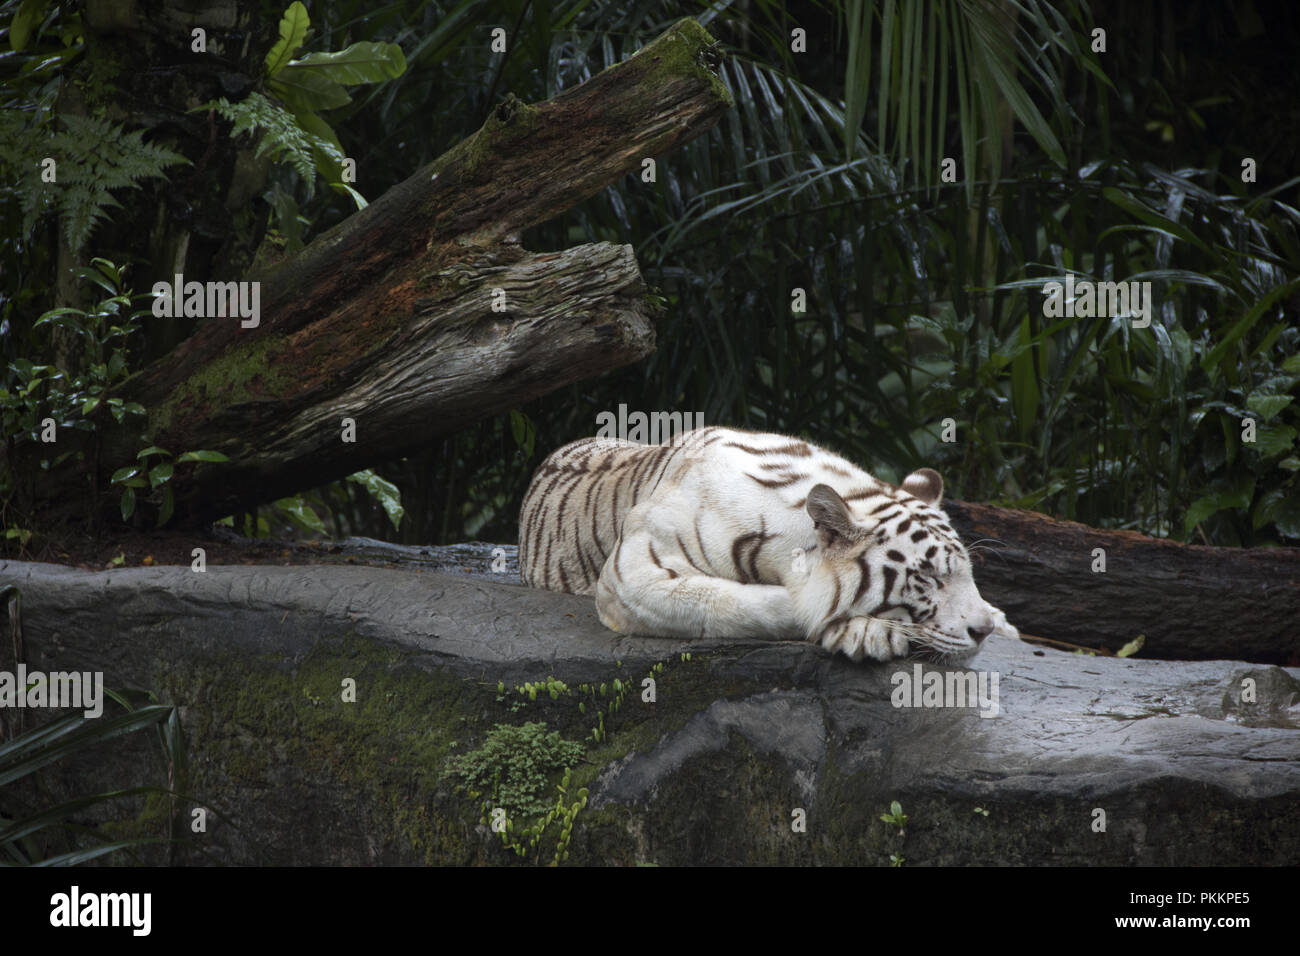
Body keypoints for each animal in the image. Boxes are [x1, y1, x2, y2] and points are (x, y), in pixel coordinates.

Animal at [517, 426, 1016, 662]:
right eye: (928, 577)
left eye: (969, 574)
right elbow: (738, 604)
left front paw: (1001, 619)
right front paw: (867, 631)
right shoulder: (633, 572)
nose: (982, 632)